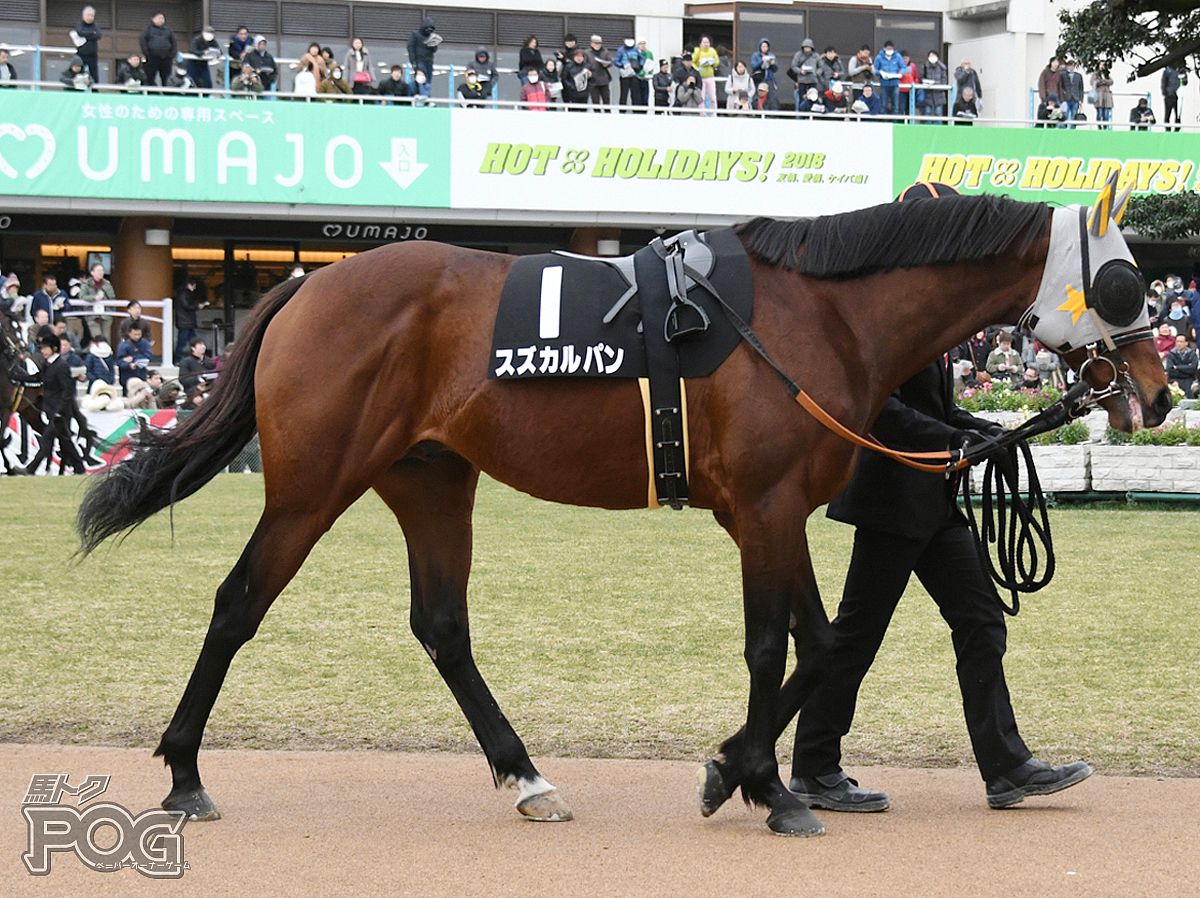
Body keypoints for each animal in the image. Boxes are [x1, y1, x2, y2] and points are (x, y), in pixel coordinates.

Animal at [75, 193, 1161, 840]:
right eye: (1123, 279)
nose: (1155, 391)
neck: (815, 314)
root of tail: (306, 281)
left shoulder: (778, 510)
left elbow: (818, 642)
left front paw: (749, 775)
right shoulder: (764, 509)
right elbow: (778, 646)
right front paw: (758, 783)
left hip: (432, 478)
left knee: (442, 626)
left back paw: (525, 775)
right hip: (312, 485)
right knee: (238, 602)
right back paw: (183, 773)